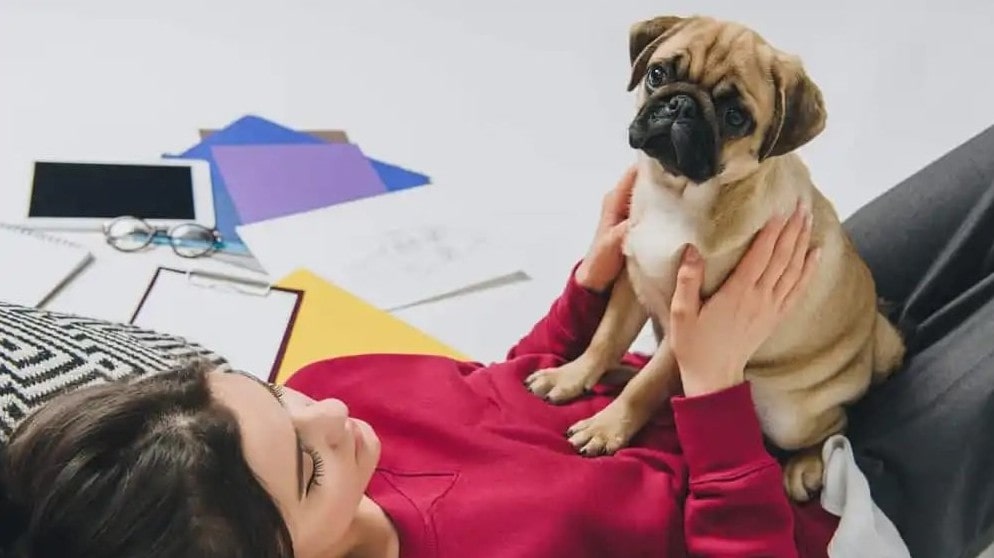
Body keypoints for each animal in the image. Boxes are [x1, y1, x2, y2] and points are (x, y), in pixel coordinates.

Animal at [524, 14, 904, 504]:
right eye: (658, 74)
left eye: (735, 117)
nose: (680, 105)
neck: (679, 196)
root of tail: (872, 349)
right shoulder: (633, 280)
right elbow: (604, 339)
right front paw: (572, 376)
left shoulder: (689, 326)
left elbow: (649, 385)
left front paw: (607, 426)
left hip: (789, 415)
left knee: (837, 427)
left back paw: (805, 466)